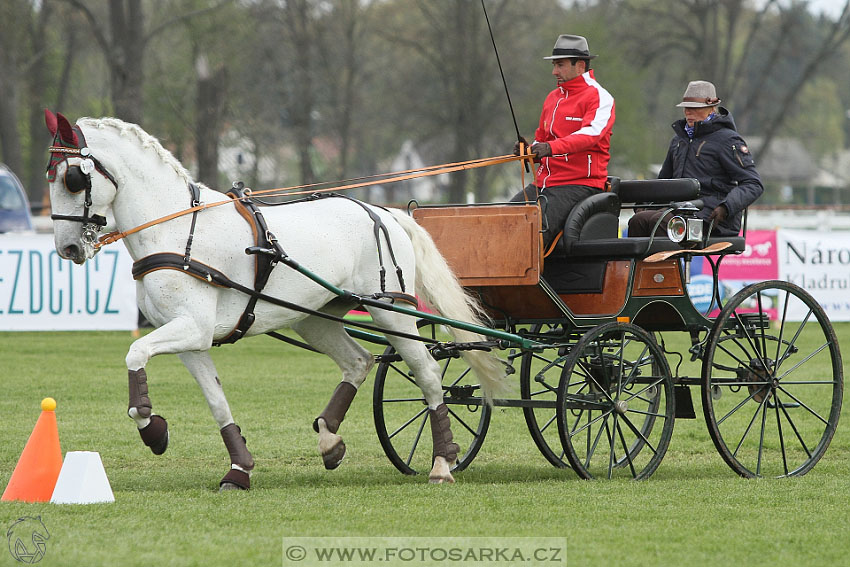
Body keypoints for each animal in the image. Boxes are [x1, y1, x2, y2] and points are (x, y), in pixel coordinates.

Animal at [44, 111, 504, 488]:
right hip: (315, 318)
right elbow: (216, 401)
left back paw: (442, 463)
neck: (176, 231)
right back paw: (330, 441)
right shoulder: (191, 339)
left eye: (72, 178)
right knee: (359, 361)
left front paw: (152, 428)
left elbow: (135, 352)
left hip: (390, 310)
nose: (68, 249)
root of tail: (385, 213)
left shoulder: (191, 328)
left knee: (428, 374)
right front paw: (238, 469)